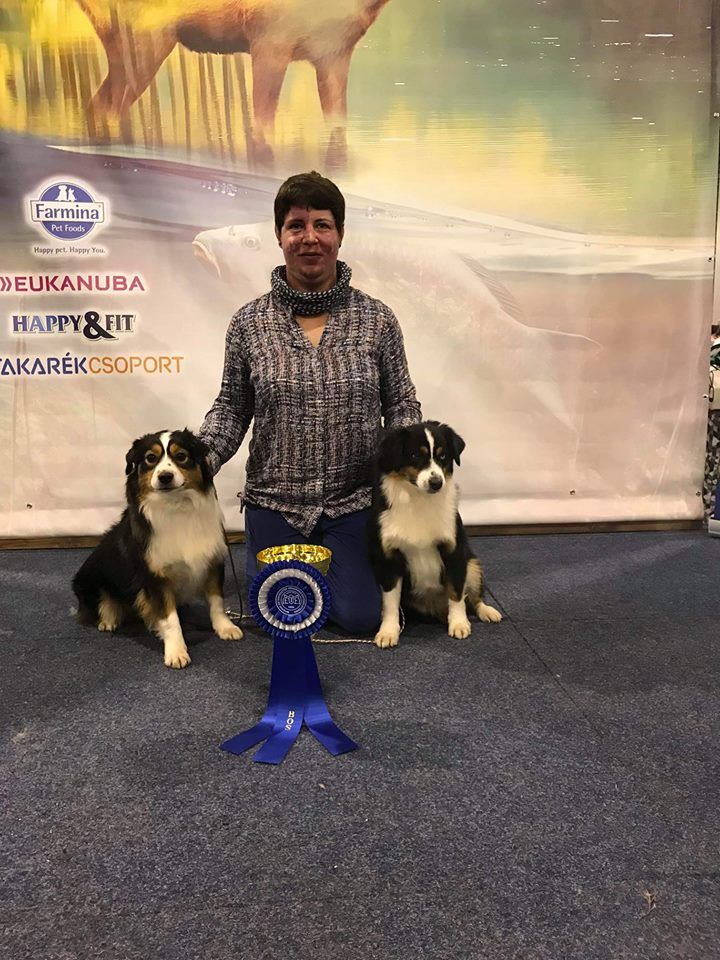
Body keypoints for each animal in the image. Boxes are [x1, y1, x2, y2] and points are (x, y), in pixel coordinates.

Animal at [72, 429, 242, 668]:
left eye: (181, 456)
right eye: (150, 458)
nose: (165, 477)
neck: (176, 506)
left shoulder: (213, 561)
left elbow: (217, 601)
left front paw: (225, 627)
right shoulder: (155, 577)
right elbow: (170, 619)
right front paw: (176, 652)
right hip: (88, 580)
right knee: (102, 603)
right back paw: (108, 619)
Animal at [368, 421, 503, 649]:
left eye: (442, 456)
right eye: (415, 455)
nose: (436, 483)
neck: (418, 500)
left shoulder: (454, 552)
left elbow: (456, 593)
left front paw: (459, 624)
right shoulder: (389, 558)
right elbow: (390, 602)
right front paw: (388, 631)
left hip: (472, 564)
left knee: (473, 598)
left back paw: (487, 612)